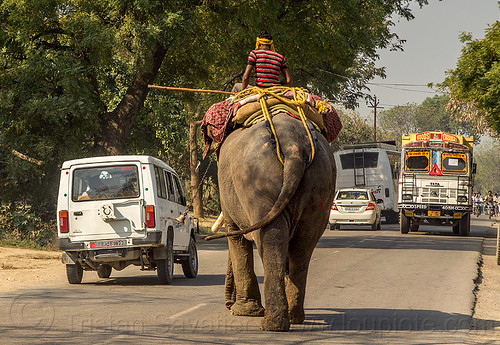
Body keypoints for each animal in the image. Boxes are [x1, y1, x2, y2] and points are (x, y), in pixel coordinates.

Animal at [203, 111, 336, 330]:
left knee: (271, 238)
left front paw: (242, 312)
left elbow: (236, 237)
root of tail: (293, 147)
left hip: (257, 181)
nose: (228, 304)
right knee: (303, 243)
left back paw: (272, 323)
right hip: (322, 180)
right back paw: (293, 317)